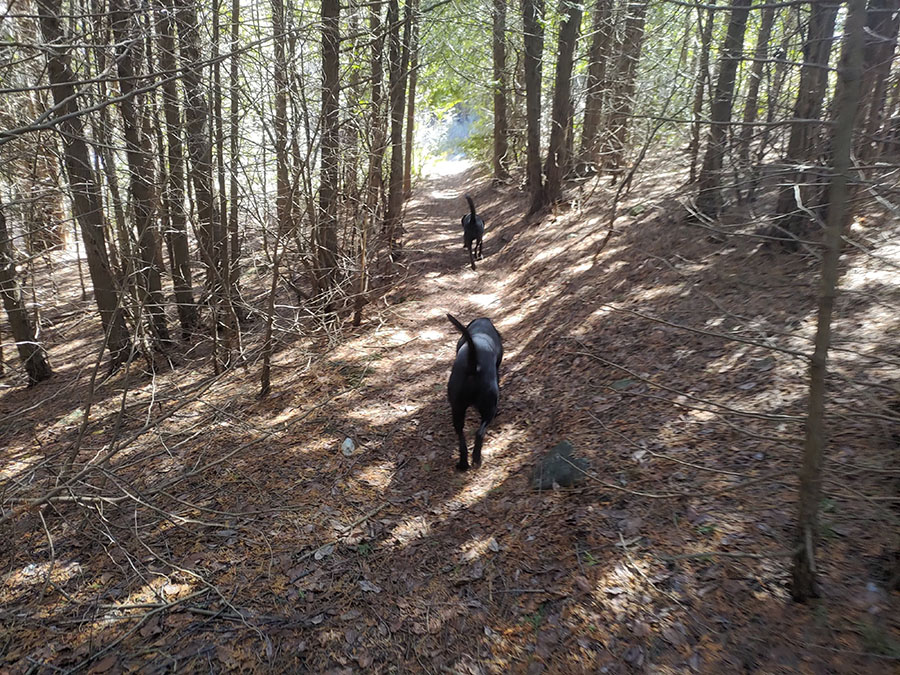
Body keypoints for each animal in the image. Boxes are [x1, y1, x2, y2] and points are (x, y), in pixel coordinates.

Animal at [446, 316, 502, 470]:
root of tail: (473, 365)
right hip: (489, 407)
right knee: (480, 433)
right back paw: (477, 459)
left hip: (457, 409)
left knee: (461, 438)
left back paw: (463, 464)